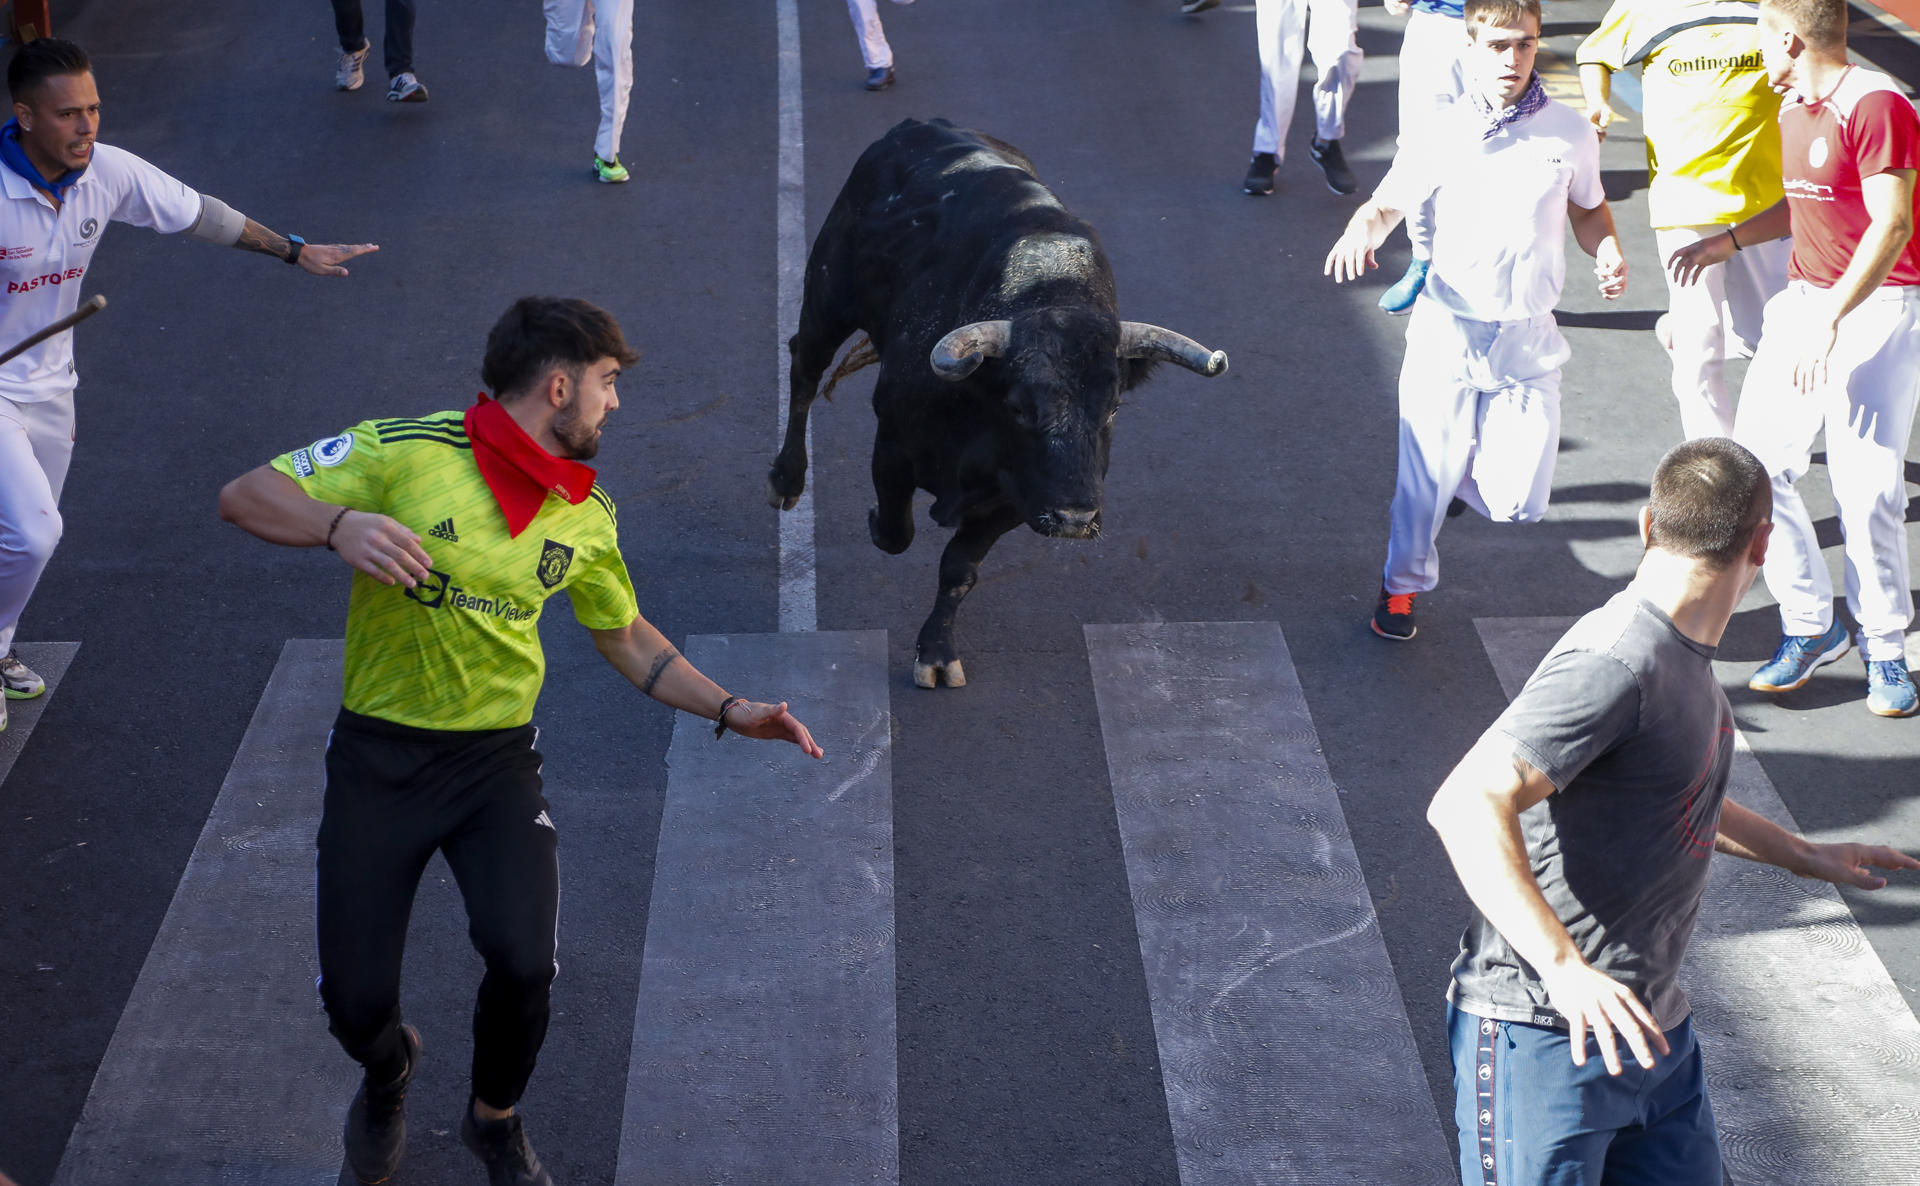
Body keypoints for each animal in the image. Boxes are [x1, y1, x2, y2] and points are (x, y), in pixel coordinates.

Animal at [764, 118, 1228, 683]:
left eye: (1113, 408)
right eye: (1020, 407)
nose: (1076, 519)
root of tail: (917, 126)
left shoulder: (1016, 501)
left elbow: (959, 570)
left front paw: (937, 653)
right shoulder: (893, 447)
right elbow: (895, 531)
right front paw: (876, 522)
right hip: (827, 296)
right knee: (804, 371)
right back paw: (786, 479)